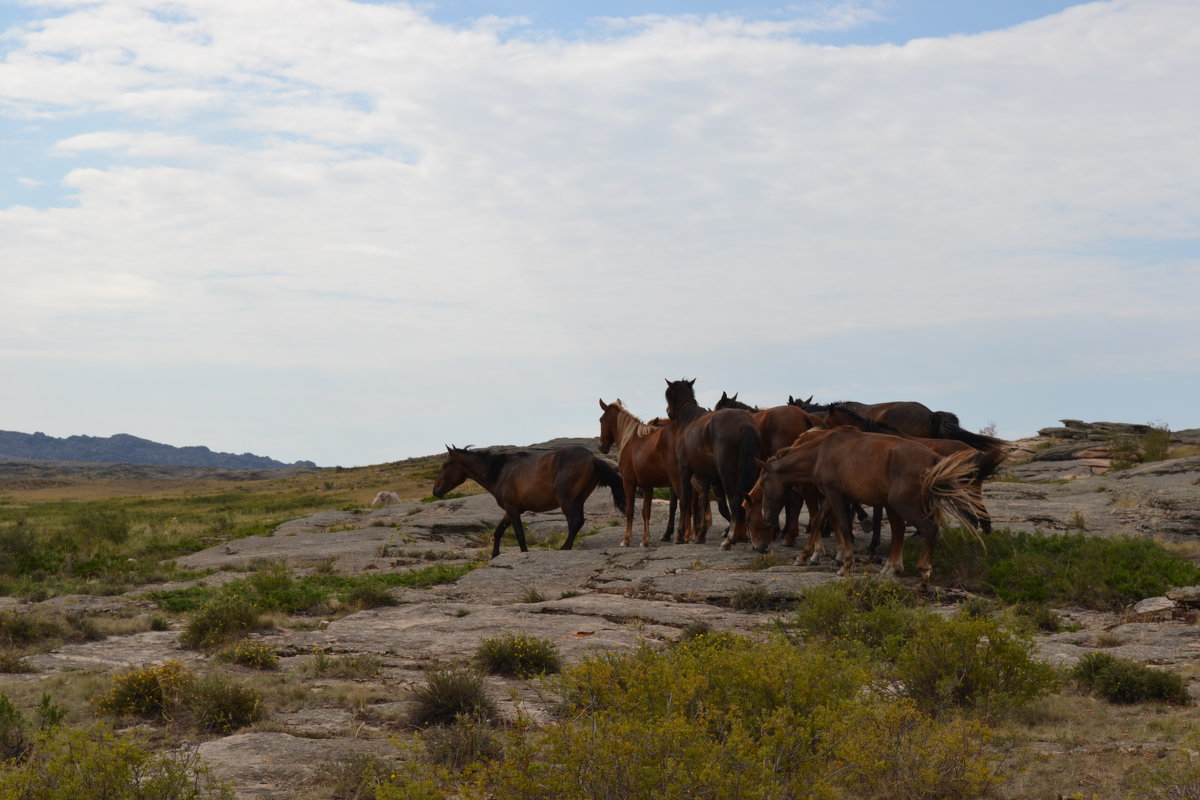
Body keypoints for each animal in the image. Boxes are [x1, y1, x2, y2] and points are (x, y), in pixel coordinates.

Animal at [434, 448, 628, 561]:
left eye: (445, 465)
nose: (435, 491)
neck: (500, 472)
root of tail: (593, 459)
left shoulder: (512, 509)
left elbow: (519, 534)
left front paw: (523, 553)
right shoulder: (511, 510)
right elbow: (498, 531)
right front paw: (494, 555)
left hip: (565, 500)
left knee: (574, 522)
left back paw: (564, 548)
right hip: (578, 500)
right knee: (578, 522)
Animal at [667, 379, 758, 546]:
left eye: (669, 395)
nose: (669, 412)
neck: (690, 420)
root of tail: (744, 423)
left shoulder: (684, 471)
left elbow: (685, 501)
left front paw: (680, 535)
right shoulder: (705, 475)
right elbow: (703, 503)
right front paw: (700, 534)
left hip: (727, 474)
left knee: (734, 501)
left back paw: (730, 538)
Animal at [744, 424, 988, 587]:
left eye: (764, 482)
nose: (767, 518)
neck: (822, 451)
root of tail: (934, 460)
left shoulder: (835, 495)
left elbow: (842, 526)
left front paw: (845, 565)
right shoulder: (829, 496)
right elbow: (819, 520)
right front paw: (805, 556)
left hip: (904, 506)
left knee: (930, 530)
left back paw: (924, 572)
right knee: (903, 532)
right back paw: (894, 568)